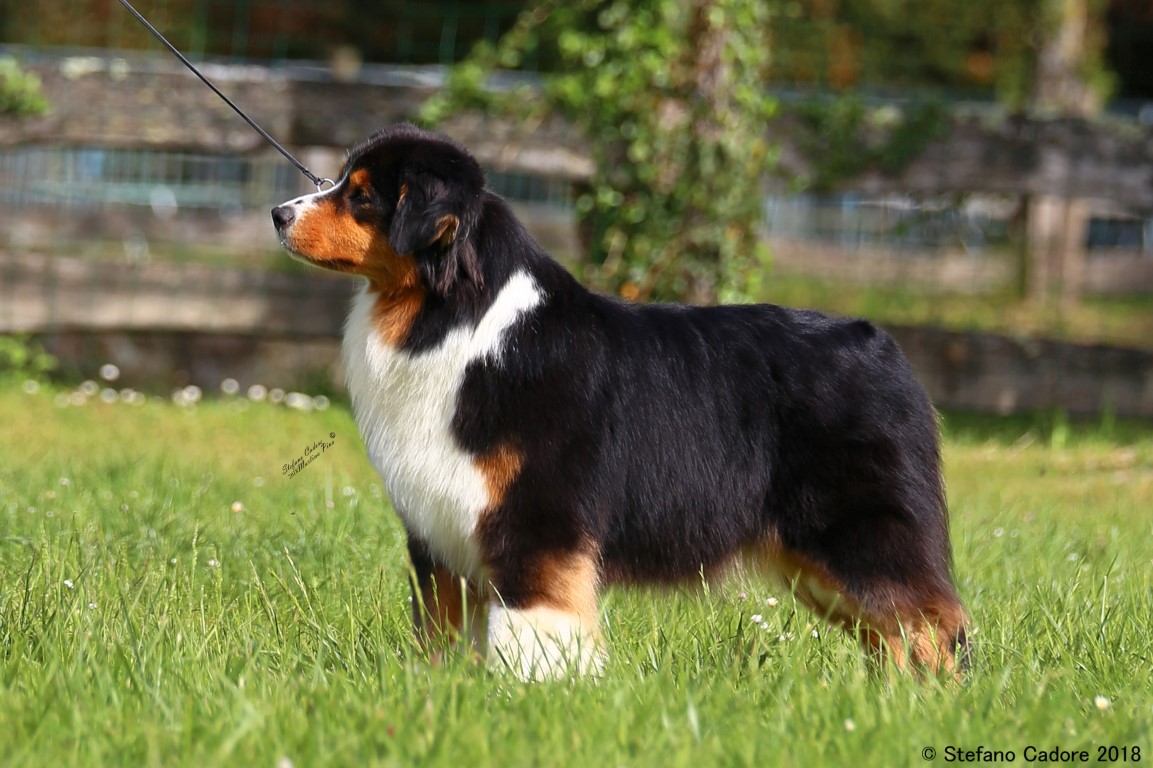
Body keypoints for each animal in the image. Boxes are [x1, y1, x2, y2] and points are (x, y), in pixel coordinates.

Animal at [274, 122, 968, 678]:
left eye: (361, 197)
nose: (279, 213)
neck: (454, 317)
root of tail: (884, 346)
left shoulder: (536, 519)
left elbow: (532, 622)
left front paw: (533, 689)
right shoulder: (440, 529)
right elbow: (441, 630)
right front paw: (439, 690)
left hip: (861, 535)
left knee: (931, 623)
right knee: (894, 632)